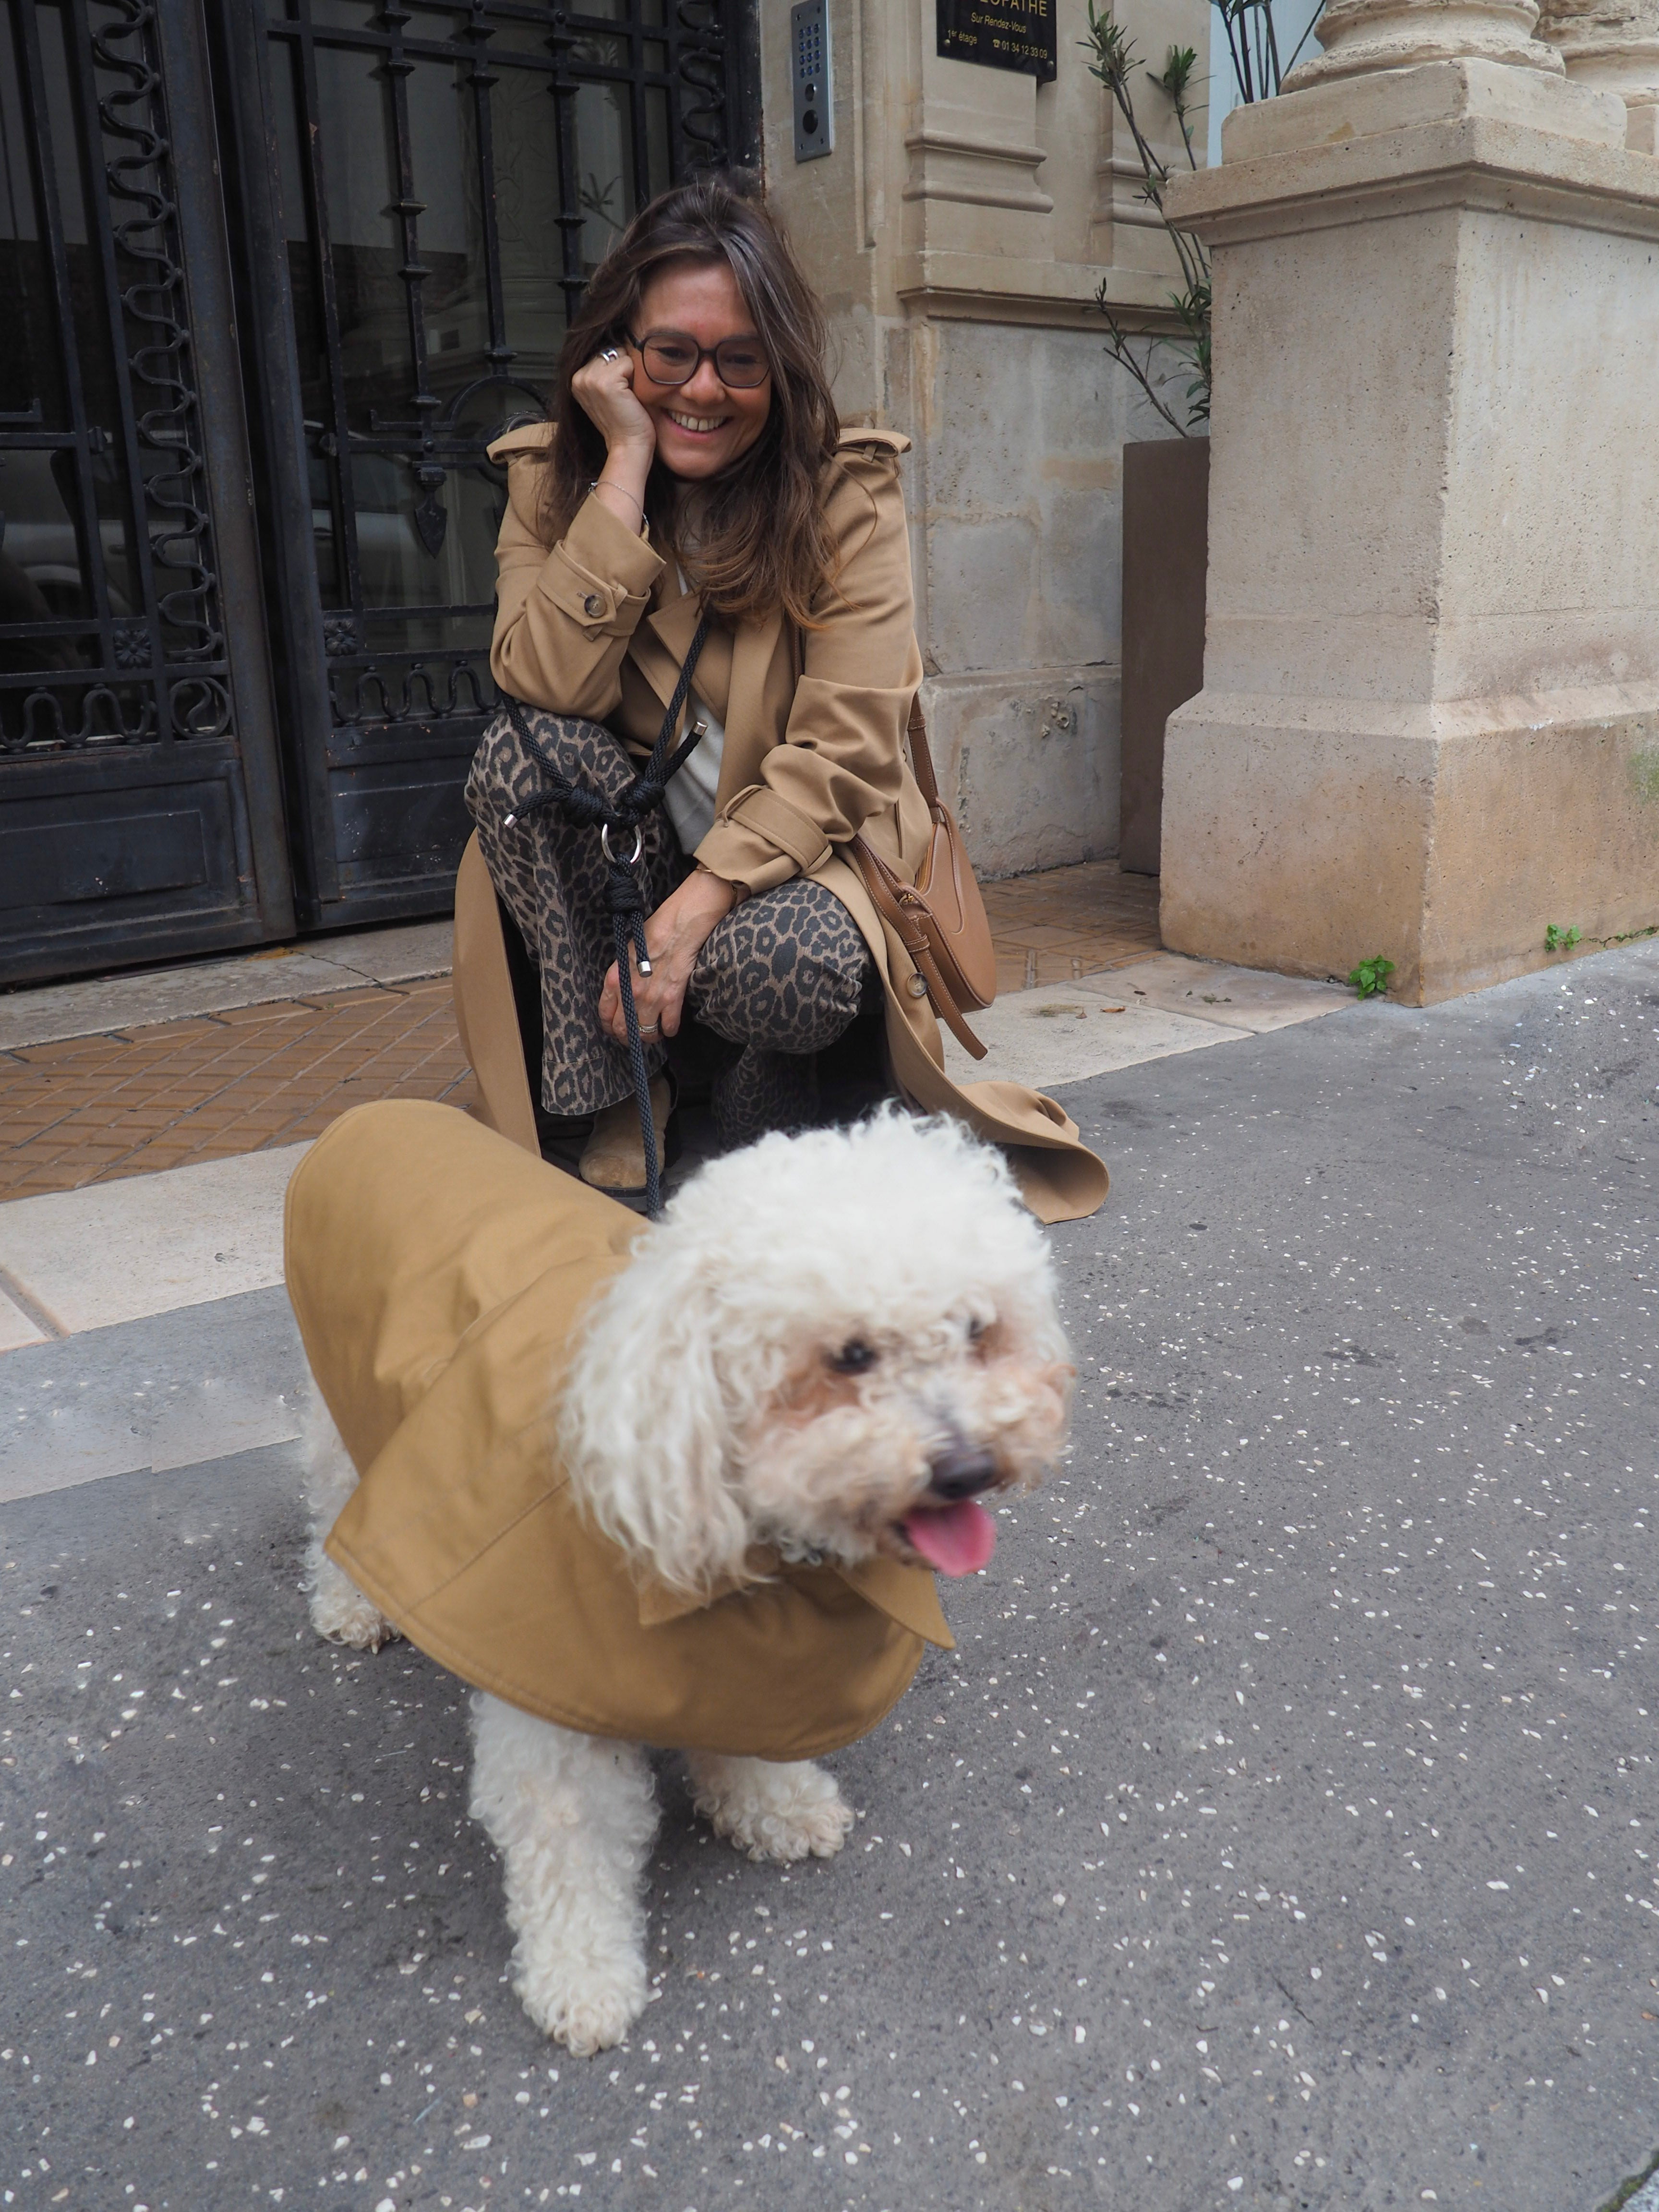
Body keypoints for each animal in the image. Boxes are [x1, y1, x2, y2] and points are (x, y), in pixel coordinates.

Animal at [301, 1123, 1079, 2053]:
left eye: (976, 1330)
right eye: (851, 1354)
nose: (969, 1469)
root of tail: (380, 1113)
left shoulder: (740, 1659)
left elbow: (747, 1729)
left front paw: (774, 1805)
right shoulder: (554, 1714)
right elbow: (569, 1847)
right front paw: (583, 1978)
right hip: (344, 1403)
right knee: (331, 1492)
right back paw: (350, 1600)